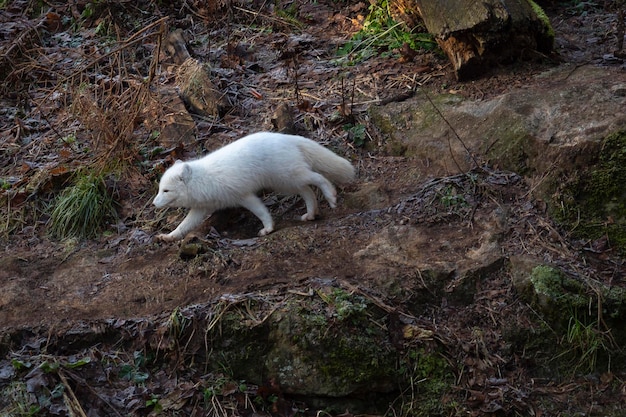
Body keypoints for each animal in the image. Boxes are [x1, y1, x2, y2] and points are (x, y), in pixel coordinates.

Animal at [152, 130, 354, 240]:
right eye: (160, 189)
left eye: (166, 190)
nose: (154, 204)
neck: (204, 180)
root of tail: (287, 137)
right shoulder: (201, 209)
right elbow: (184, 225)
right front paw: (168, 237)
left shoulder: (244, 195)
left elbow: (261, 212)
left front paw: (268, 228)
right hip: (285, 182)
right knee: (307, 191)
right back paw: (311, 214)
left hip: (290, 175)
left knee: (318, 178)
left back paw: (331, 196)